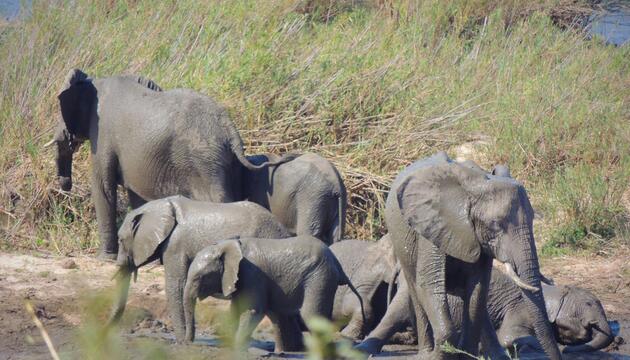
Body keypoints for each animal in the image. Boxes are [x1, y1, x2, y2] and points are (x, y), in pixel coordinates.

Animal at [48, 68, 296, 258]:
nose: (65, 184)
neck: (95, 81)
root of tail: (231, 131)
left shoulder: (103, 134)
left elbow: (102, 187)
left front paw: (104, 259)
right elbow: (136, 196)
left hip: (205, 161)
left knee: (219, 200)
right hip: (224, 162)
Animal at [109, 195, 294, 342]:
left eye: (120, 240)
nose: (106, 330)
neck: (159, 206)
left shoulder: (175, 246)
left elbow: (175, 286)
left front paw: (181, 342)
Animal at [183, 236, 366, 352]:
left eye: (200, 278)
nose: (189, 343)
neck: (225, 245)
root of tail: (337, 263)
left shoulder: (252, 275)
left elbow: (252, 311)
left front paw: (236, 348)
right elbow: (235, 310)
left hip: (320, 277)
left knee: (311, 315)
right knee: (279, 314)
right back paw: (283, 352)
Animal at [386, 150, 564, 358]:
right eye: (495, 224)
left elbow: (477, 287)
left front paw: (465, 354)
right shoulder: (431, 225)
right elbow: (429, 284)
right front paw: (441, 355)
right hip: (401, 243)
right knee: (415, 289)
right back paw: (426, 353)